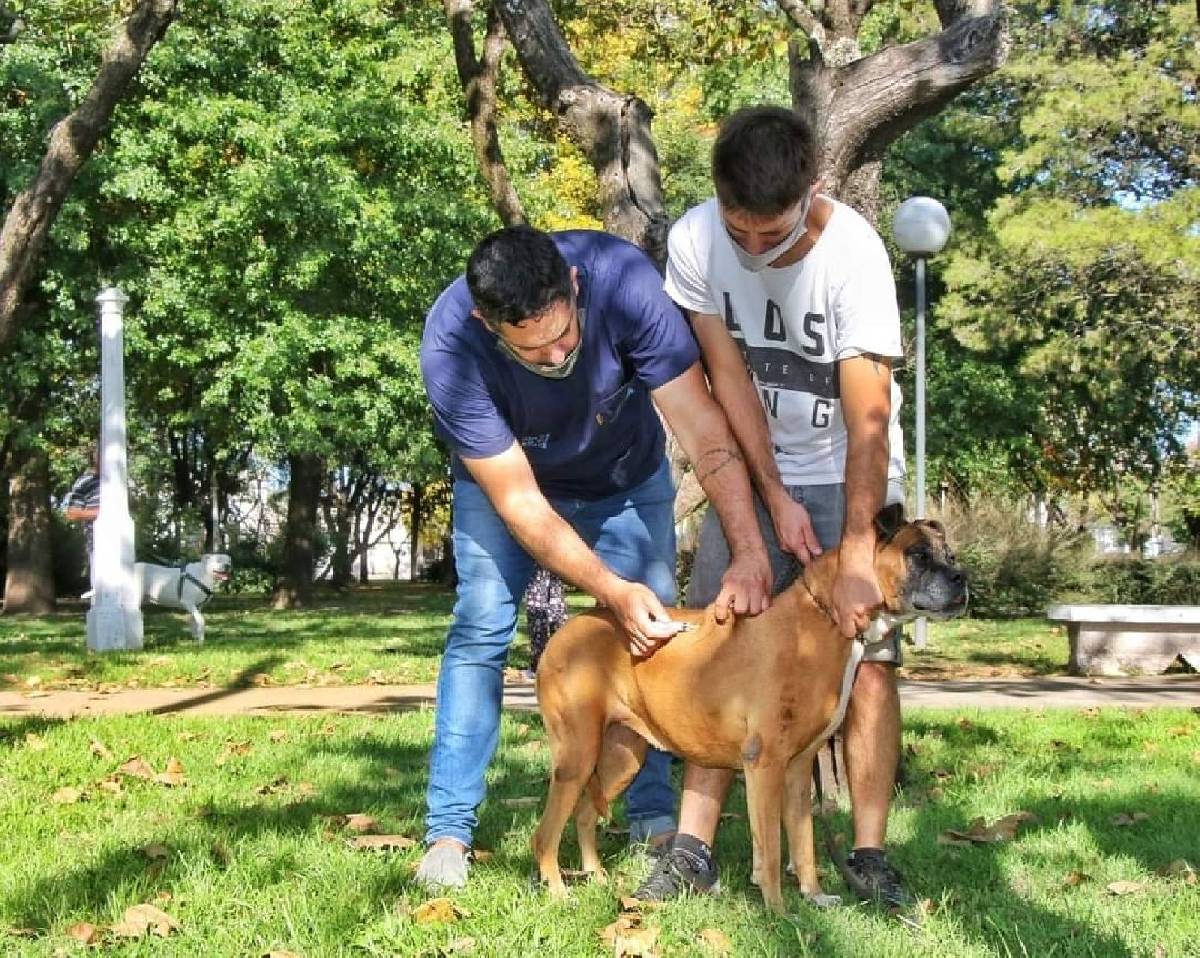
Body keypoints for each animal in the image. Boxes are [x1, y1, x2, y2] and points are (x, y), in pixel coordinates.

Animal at [532, 501, 964, 917]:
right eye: (918, 555)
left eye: (950, 555)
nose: (961, 578)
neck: (820, 619)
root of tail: (569, 628)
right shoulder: (765, 765)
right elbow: (770, 849)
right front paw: (779, 913)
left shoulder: (798, 769)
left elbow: (804, 843)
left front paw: (813, 897)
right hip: (577, 755)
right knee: (545, 833)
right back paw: (559, 893)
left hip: (622, 757)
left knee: (585, 813)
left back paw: (597, 877)